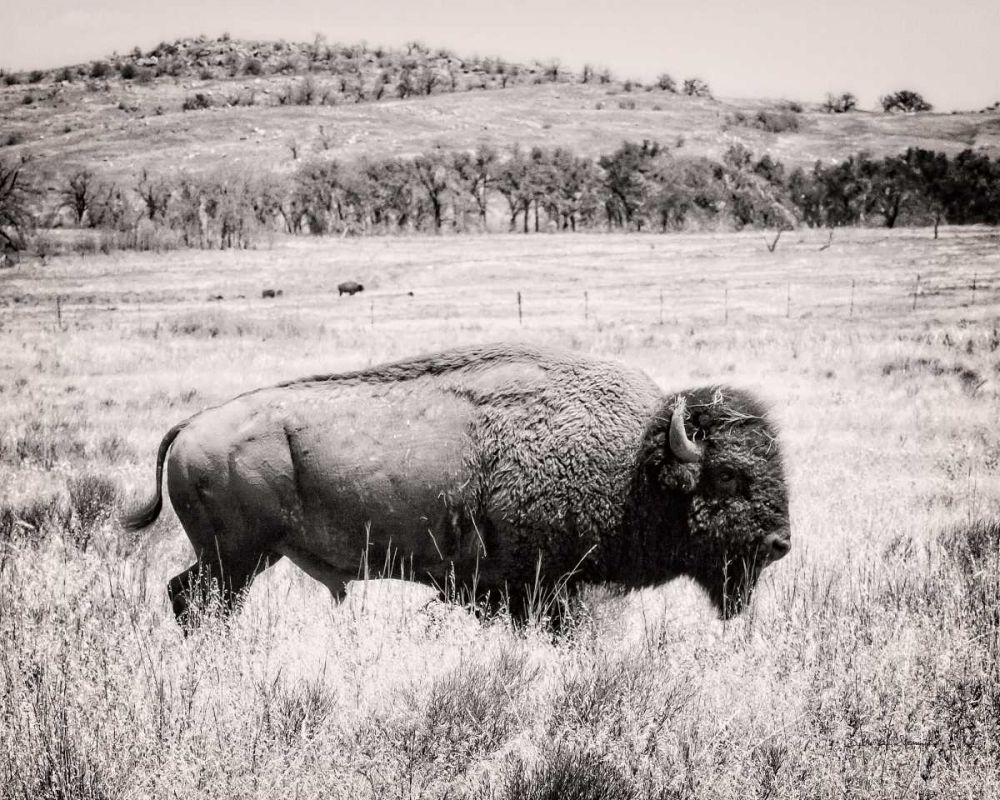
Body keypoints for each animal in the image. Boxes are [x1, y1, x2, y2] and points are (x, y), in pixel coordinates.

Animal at [123, 344, 790, 627]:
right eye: (727, 475)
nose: (781, 542)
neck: (633, 464)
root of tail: (193, 425)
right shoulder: (539, 589)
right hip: (235, 559)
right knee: (195, 600)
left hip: (238, 560)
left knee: (184, 595)